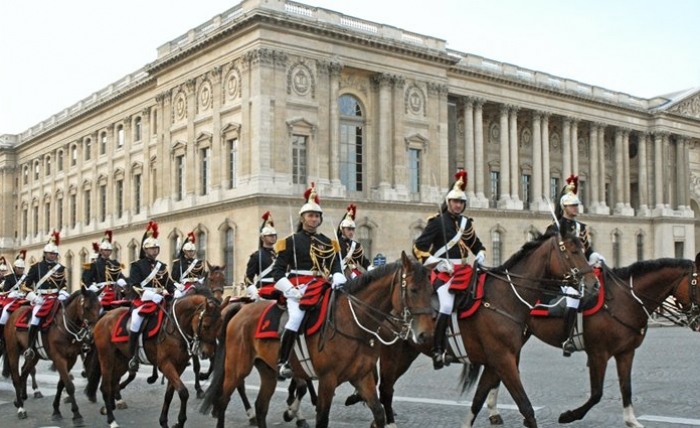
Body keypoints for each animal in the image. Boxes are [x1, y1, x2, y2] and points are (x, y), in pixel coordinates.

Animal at [3, 286, 100, 422]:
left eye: (99, 306)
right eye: (86, 307)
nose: (93, 334)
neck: (64, 326)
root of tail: (14, 314)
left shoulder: (71, 359)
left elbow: (61, 384)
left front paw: (56, 410)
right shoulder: (59, 358)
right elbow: (69, 385)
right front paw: (76, 414)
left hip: (34, 356)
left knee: (24, 372)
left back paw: (21, 399)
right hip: (13, 351)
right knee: (16, 378)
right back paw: (21, 409)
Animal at [91, 288, 220, 428]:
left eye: (219, 326)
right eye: (206, 325)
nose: (208, 353)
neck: (174, 327)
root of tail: (105, 315)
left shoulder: (179, 366)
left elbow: (170, 394)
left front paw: (166, 421)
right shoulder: (165, 364)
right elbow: (183, 392)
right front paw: (179, 422)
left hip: (122, 360)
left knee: (113, 381)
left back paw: (111, 405)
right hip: (106, 358)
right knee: (105, 387)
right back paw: (111, 420)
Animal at [200, 251, 434, 428]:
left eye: (431, 290)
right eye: (413, 290)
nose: (426, 334)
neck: (351, 321)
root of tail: (241, 309)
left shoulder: (362, 376)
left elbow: (378, 412)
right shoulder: (327, 380)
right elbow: (321, 417)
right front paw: (294, 413)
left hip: (267, 370)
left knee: (261, 407)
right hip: (237, 367)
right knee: (224, 401)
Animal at [372, 231, 596, 428]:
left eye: (583, 250)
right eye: (573, 252)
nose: (594, 285)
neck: (505, 297)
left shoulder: (493, 363)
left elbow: (478, 399)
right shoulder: (503, 359)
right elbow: (525, 406)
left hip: (407, 352)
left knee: (386, 387)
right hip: (392, 352)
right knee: (385, 388)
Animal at [482, 254, 700, 428]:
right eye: (697, 284)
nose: (698, 321)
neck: (625, 300)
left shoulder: (626, 353)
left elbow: (626, 388)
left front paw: (631, 421)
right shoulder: (598, 354)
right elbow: (597, 394)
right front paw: (568, 416)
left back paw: (495, 411)